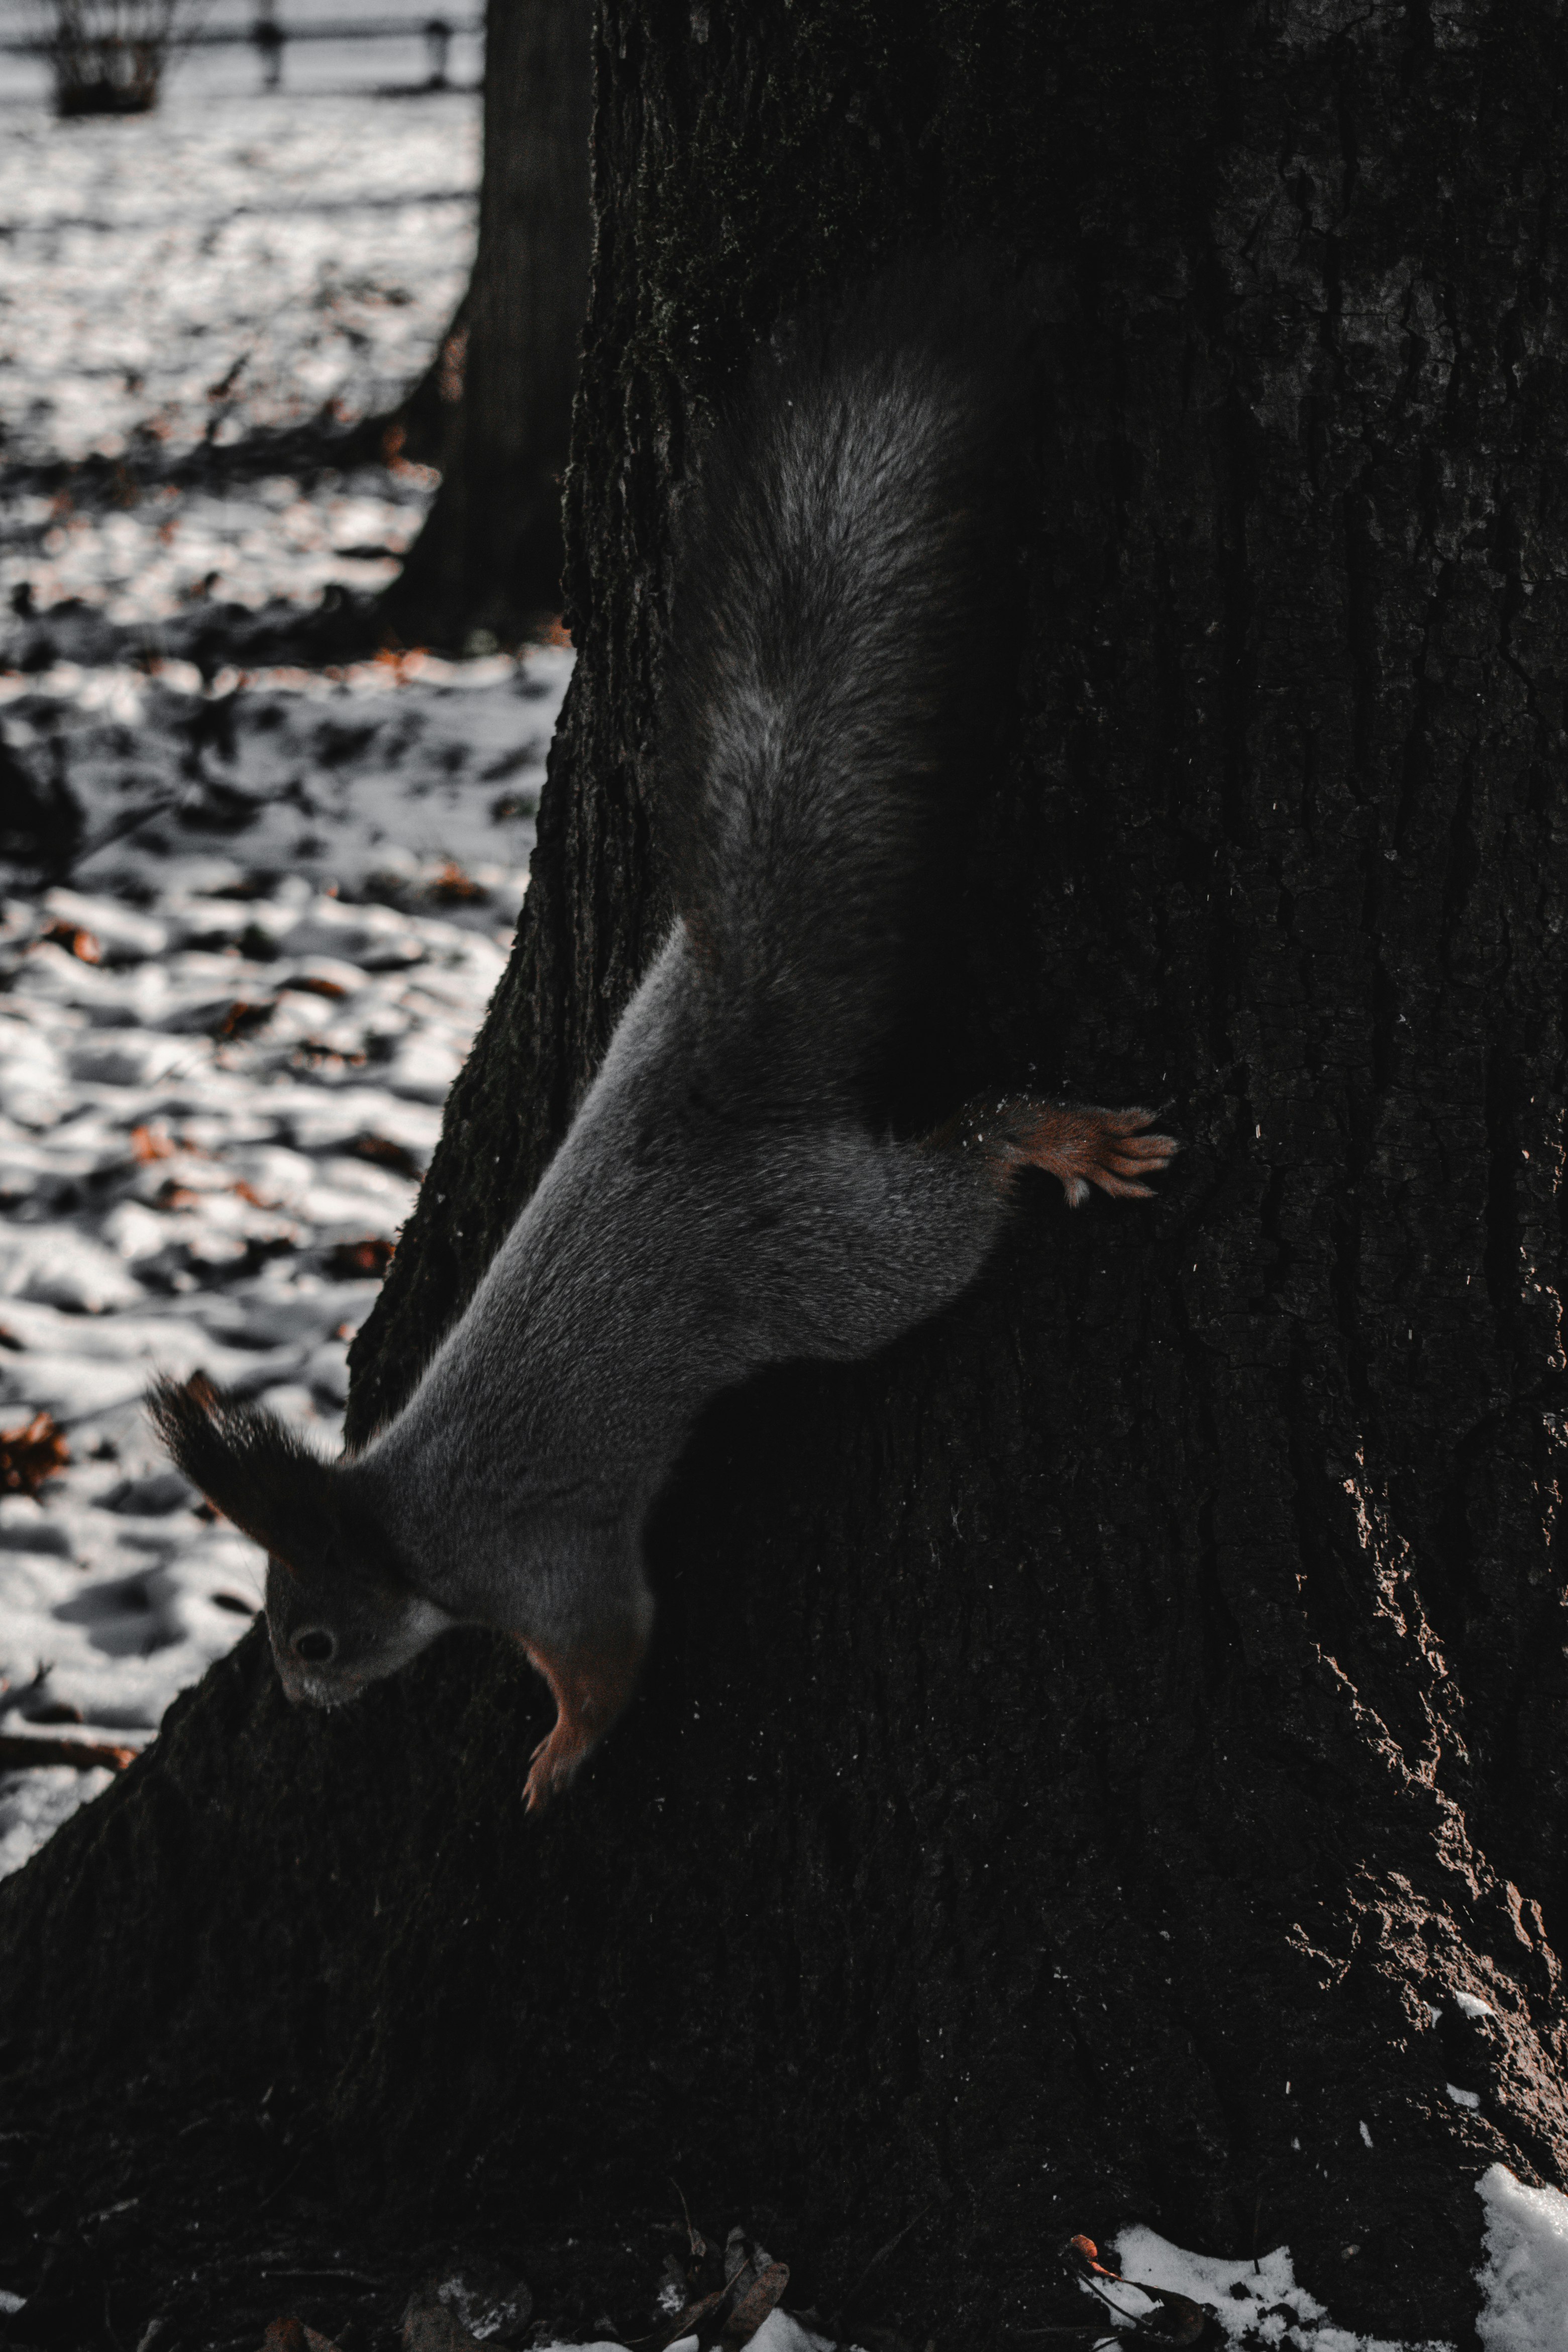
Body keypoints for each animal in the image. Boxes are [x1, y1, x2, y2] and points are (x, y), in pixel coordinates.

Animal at [153, 284, 1175, 1806]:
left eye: (317, 1637)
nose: (300, 1695)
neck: (408, 1519)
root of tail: (709, 1079)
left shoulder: (539, 1558)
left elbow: (611, 1648)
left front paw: (562, 1749)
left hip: (832, 1259)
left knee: (951, 1201)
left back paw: (1043, 1136)